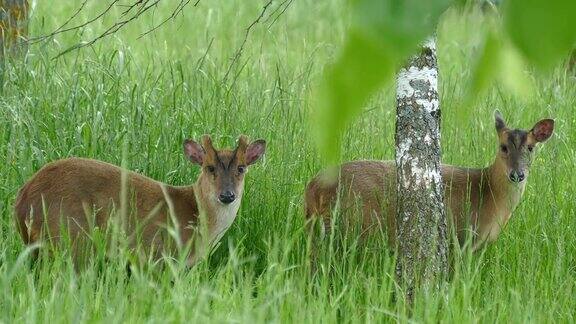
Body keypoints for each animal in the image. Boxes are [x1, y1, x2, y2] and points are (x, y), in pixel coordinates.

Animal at [14, 135, 266, 268]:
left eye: (241, 168)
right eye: (209, 167)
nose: (227, 195)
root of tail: (21, 202)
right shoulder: (162, 255)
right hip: (69, 234)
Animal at [306, 111, 552, 258]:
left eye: (531, 148)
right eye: (503, 147)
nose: (517, 174)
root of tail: (312, 188)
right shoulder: (460, 237)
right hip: (347, 224)